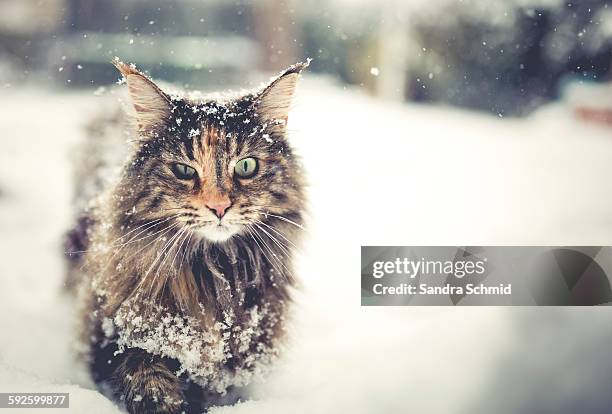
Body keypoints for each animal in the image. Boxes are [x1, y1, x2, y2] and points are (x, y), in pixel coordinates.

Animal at [63, 59, 306, 414]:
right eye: (184, 170)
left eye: (246, 166)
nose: (219, 207)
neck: (214, 275)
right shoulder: (109, 336)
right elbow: (145, 379)